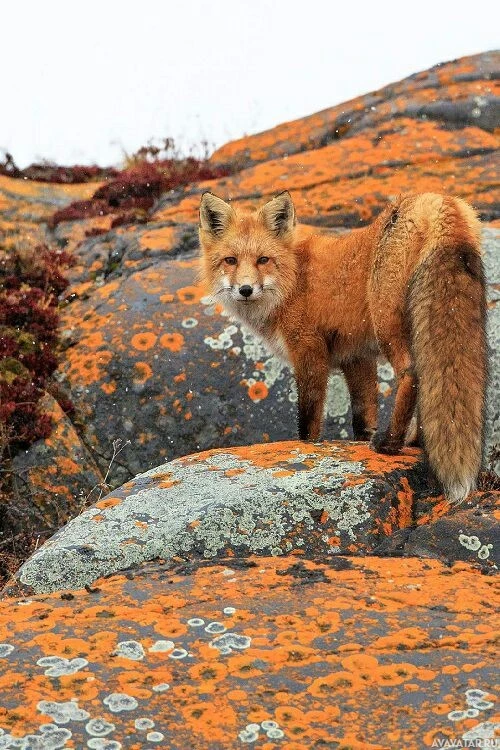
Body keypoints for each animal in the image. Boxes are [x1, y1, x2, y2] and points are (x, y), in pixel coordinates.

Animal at [197, 191, 486, 502]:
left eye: (264, 260)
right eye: (230, 260)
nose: (246, 290)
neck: (294, 281)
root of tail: (436, 199)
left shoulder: (309, 351)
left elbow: (309, 420)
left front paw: (308, 447)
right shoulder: (356, 358)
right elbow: (362, 416)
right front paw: (361, 444)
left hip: (386, 322)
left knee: (411, 373)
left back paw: (390, 443)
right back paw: (417, 442)